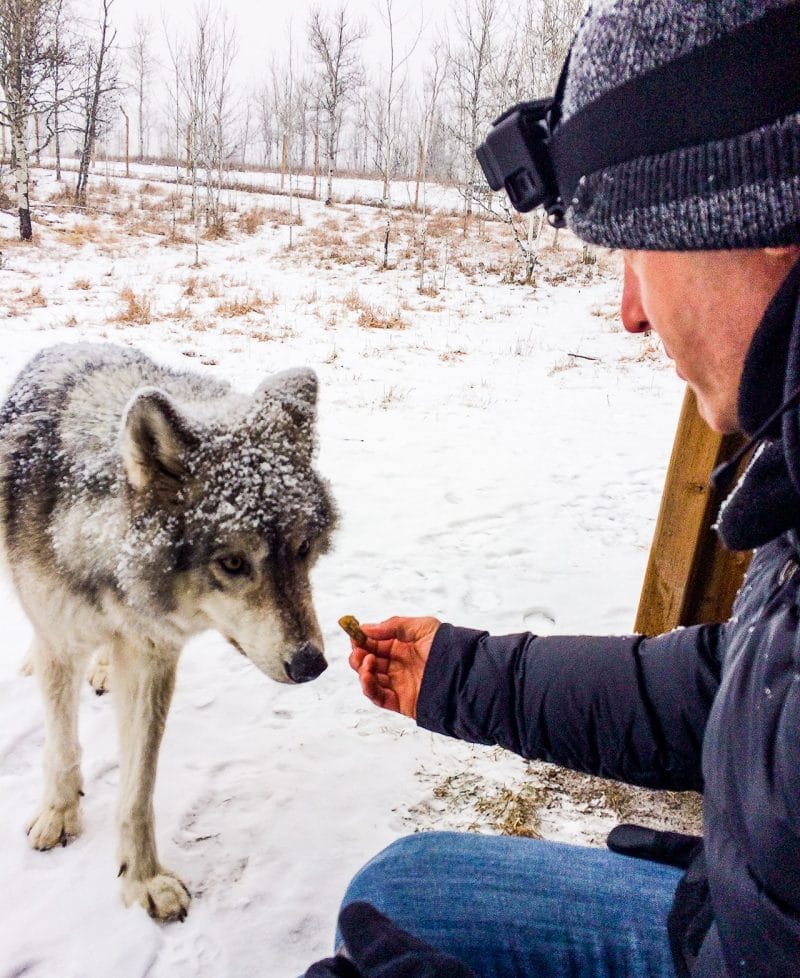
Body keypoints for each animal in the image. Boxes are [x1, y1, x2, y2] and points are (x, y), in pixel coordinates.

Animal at [0, 342, 338, 916]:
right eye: (232, 563)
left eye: (302, 549)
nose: (311, 664)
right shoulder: (61, 642)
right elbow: (62, 748)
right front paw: (59, 816)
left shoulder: (151, 655)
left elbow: (139, 789)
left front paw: (142, 880)